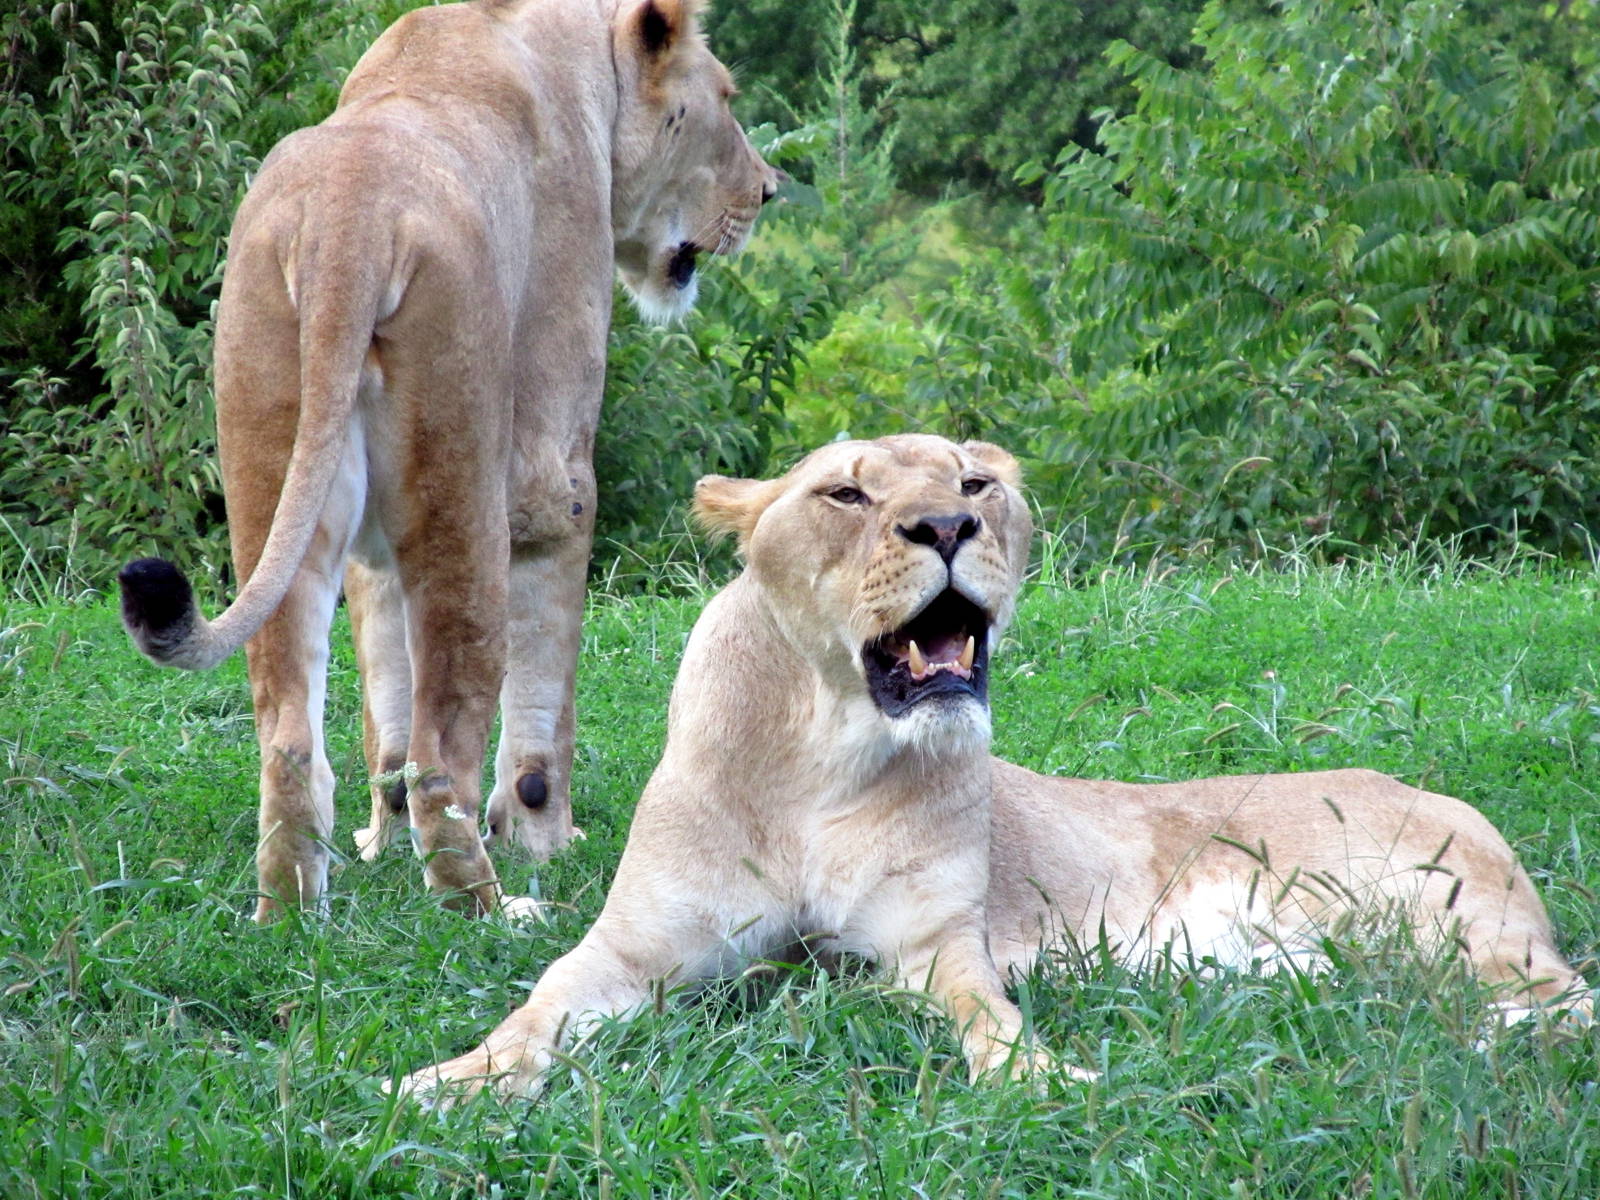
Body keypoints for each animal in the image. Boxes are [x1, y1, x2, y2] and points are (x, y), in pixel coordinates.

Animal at [117, 0, 778, 923]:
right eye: (725, 98)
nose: (769, 189)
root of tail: (346, 221)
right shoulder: (552, 469)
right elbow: (541, 706)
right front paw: (545, 838)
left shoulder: (371, 545)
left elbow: (383, 697)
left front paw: (381, 845)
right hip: (463, 480)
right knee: (439, 754)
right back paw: (495, 912)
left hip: (273, 456)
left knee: (289, 740)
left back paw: (290, 914)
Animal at [399, 433, 1590, 1101]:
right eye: (846, 495)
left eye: (975, 482)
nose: (945, 524)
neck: (823, 751)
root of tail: (1432, 790)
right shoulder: (635, 945)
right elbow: (537, 1007)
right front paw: (445, 1083)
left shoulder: (935, 946)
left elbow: (986, 1016)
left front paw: (1038, 1079)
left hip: (1431, 920)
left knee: (1554, 996)